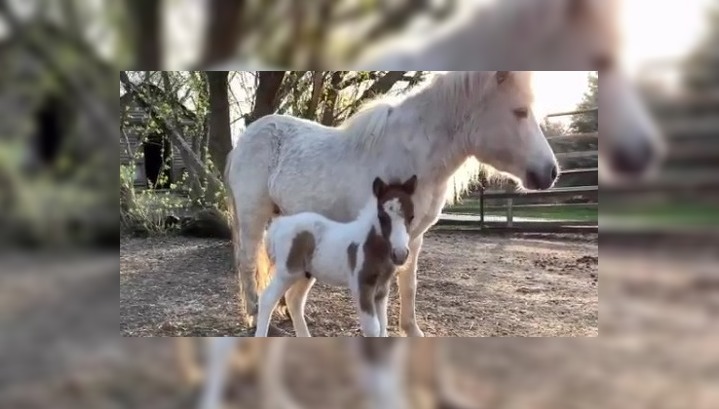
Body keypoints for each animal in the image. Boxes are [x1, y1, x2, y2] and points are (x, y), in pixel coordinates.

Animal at [258, 175, 416, 338]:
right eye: (382, 217)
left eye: (411, 216)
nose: (400, 254)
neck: (370, 243)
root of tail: (279, 225)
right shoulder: (362, 286)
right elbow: (373, 328)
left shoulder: (382, 290)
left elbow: (383, 326)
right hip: (286, 273)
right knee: (267, 299)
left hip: (305, 274)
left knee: (294, 300)